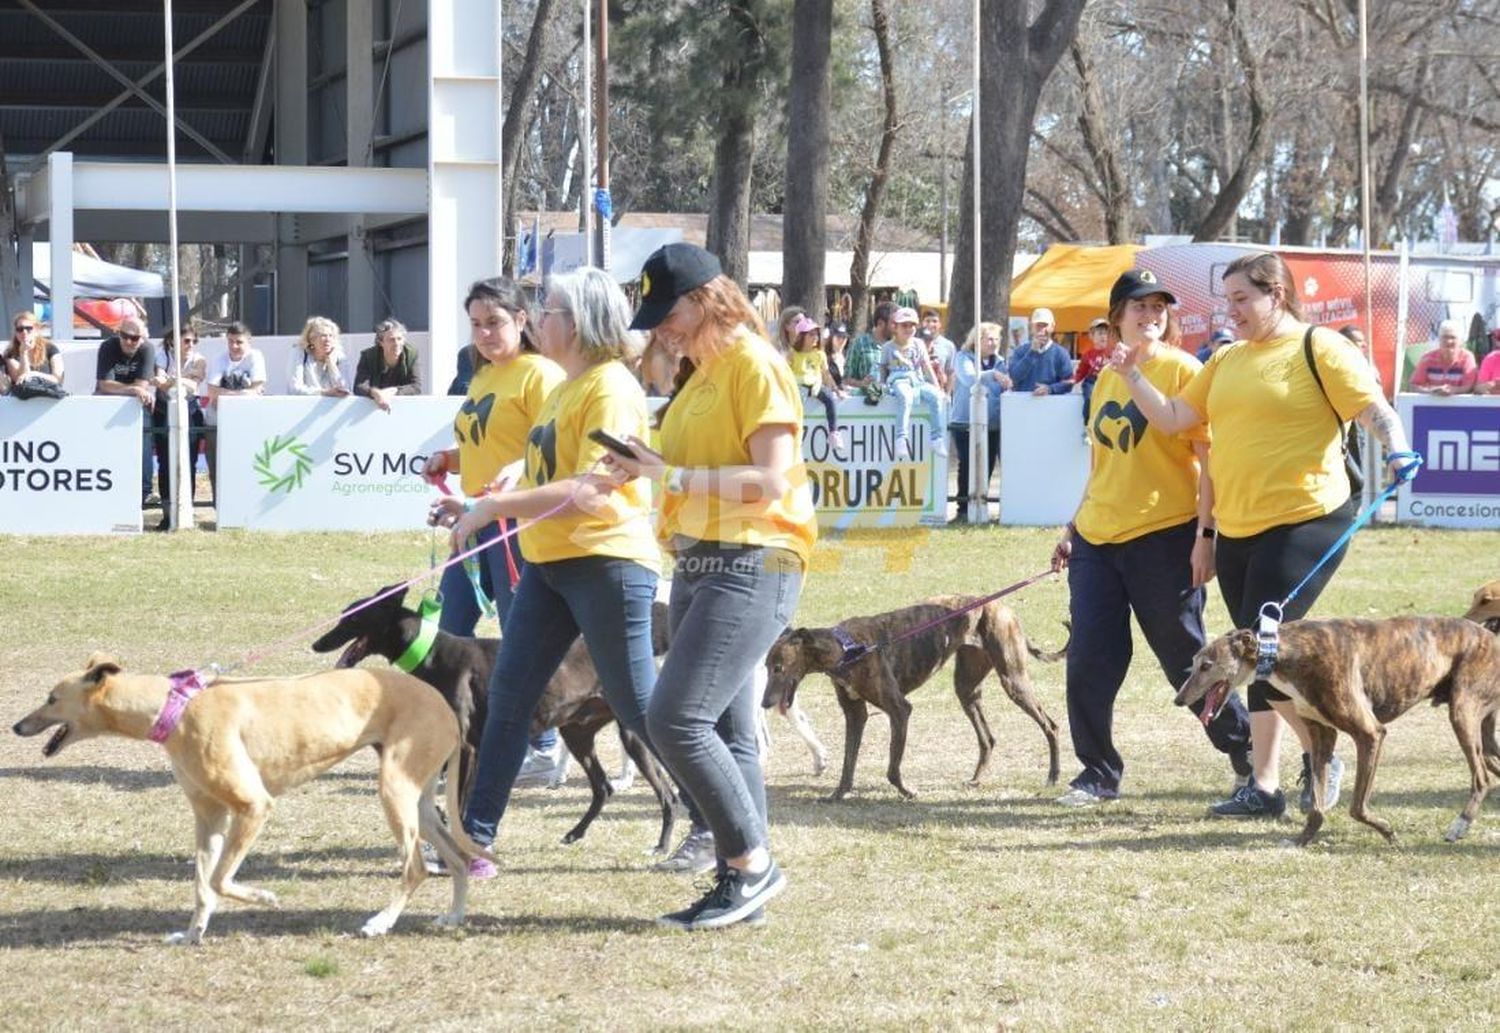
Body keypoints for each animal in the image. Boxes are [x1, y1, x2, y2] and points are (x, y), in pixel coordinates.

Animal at [13, 656, 492, 941]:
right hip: (420, 803)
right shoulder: (208, 816)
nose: (17, 726)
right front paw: (192, 935)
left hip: (394, 791)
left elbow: (219, 880)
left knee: (416, 867)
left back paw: (380, 922)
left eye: (51, 698)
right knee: (456, 858)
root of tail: (445, 707)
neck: (175, 709)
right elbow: (202, 884)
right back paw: (454, 916)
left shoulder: (252, 807)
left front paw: (264, 897)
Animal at [316, 584, 681, 851]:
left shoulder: (466, 748)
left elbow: (458, 801)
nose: (317, 644)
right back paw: (575, 833)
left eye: (351, 618)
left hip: (631, 734)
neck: (432, 652)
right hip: (577, 733)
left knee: (667, 792)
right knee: (603, 787)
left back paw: (662, 845)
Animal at [762, 596, 1068, 797]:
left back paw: (1053, 776)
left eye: (778, 667)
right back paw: (975, 780)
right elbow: (849, 761)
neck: (846, 648)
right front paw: (840, 793)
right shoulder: (855, 714)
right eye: (765, 666)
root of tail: (1002, 606)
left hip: (1013, 680)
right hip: (967, 689)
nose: (764, 703)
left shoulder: (899, 710)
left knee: (1050, 726)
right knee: (987, 739)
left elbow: (892, 766)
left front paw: (906, 791)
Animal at [1176, 611, 1500, 845]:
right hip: (1482, 729)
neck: (1284, 651)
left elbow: (1356, 806)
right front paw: (1301, 840)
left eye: (1207, 665)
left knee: (1481, 778)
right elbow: (1317, 807)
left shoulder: (1370, 734)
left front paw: (1387, 832)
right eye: (1193, 662)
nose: (1178, 699)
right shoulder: (1322, 733)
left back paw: (1459, 826)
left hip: (1462, 713)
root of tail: (1490, 636)